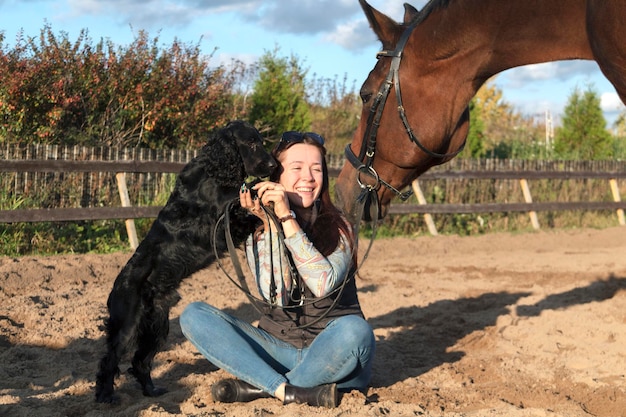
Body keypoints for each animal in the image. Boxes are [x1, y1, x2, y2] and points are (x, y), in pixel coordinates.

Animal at [95, 120, 276, 404]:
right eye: (251, 142)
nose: (273, 166)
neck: (213, 172)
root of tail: (115, 289)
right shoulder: (221, 223)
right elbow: (251, 202)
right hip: (128, 327)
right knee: (110, 360)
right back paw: (105, 396)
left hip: (157, 326)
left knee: (140, 362)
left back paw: (152, 391)